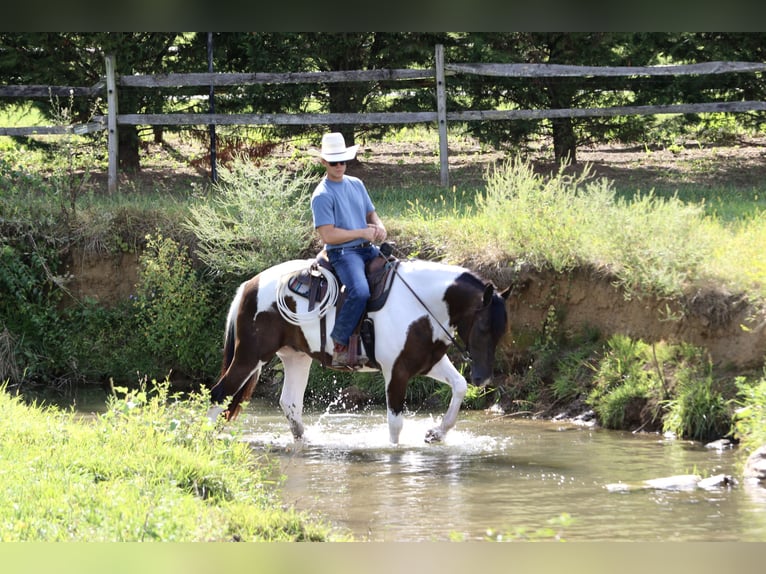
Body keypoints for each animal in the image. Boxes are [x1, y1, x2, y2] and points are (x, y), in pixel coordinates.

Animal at [208, 246, 511, 445]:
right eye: (483, 327)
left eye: (502, 332)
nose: (484, 378)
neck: (421, 303)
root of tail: (250, 284)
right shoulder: (396, 372)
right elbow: (395, 424)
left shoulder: (429, 362)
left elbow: (459, 385)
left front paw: (436, 432)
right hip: (251, 355)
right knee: (219, 393)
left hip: (296, 357)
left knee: (290, 403)